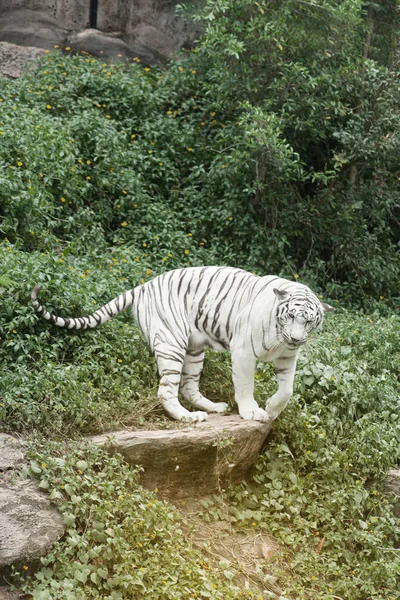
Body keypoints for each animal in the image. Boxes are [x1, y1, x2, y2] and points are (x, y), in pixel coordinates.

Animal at [31, 264, 332, 424]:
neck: (282, 337)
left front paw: (270, 409)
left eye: (308, 322)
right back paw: (188, 417)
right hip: (171, 344)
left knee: (188, 387)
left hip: (194, 349)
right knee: (166, 390)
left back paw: (212, 408)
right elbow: (245, 385)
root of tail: (144, 285)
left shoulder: (288, 358)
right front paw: (251, 411)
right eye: (290, 316)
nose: (296, 338)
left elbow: (287, 391)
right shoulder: (244, 351)